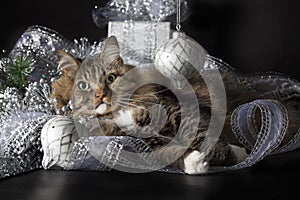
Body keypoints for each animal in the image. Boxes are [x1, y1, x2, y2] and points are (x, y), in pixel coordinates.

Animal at [54, 36, 248, 174]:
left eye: (110, 78)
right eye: (83, 85)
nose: (100, 95)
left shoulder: (180, 110)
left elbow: (202, 137)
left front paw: (238, 154)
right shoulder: (137, 140)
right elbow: (165, 152)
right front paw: (195, 162)